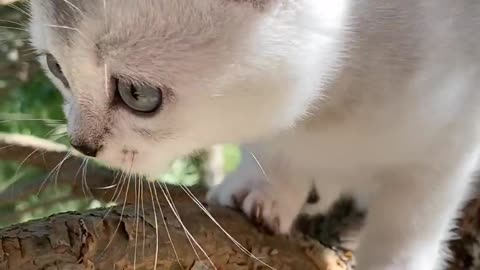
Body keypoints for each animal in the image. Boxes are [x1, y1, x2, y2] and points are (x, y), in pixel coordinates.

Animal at [29, 0, 480, 270]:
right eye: (56, 67)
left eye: (138, 95)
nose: (82, 144)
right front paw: (270, 186)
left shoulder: (452, 137)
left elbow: (409, 224)